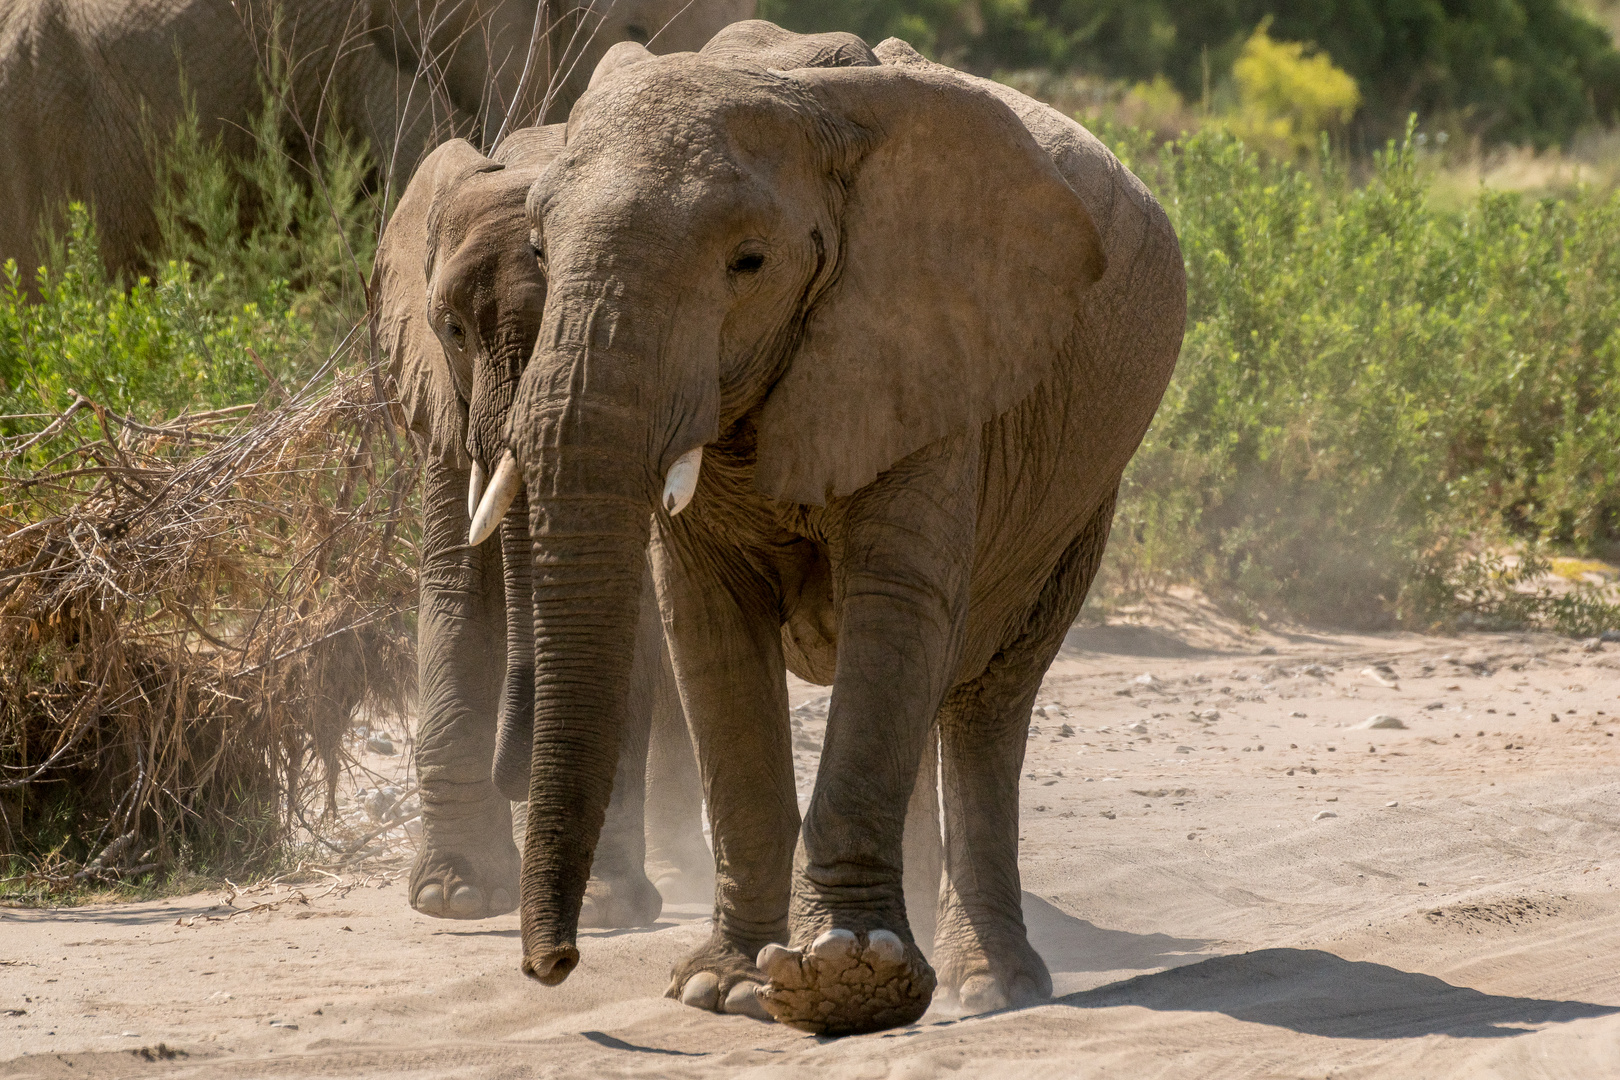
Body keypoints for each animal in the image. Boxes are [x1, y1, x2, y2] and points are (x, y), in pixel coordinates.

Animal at [375, 124, 712, 919]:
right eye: (452, 328)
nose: (518, 767)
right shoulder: (446, 404)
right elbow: (456, 587)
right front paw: (455, 894)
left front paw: (604, 904)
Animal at [463, 21, 1185, 1036]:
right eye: (537, 241)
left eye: (749, 263)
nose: (554, 965)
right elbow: (711, 634)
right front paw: (726, 988)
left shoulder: (931, 345)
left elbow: (896, 604)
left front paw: (848, 980)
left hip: (1082, 488)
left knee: (986, 696)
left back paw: (987, 984)